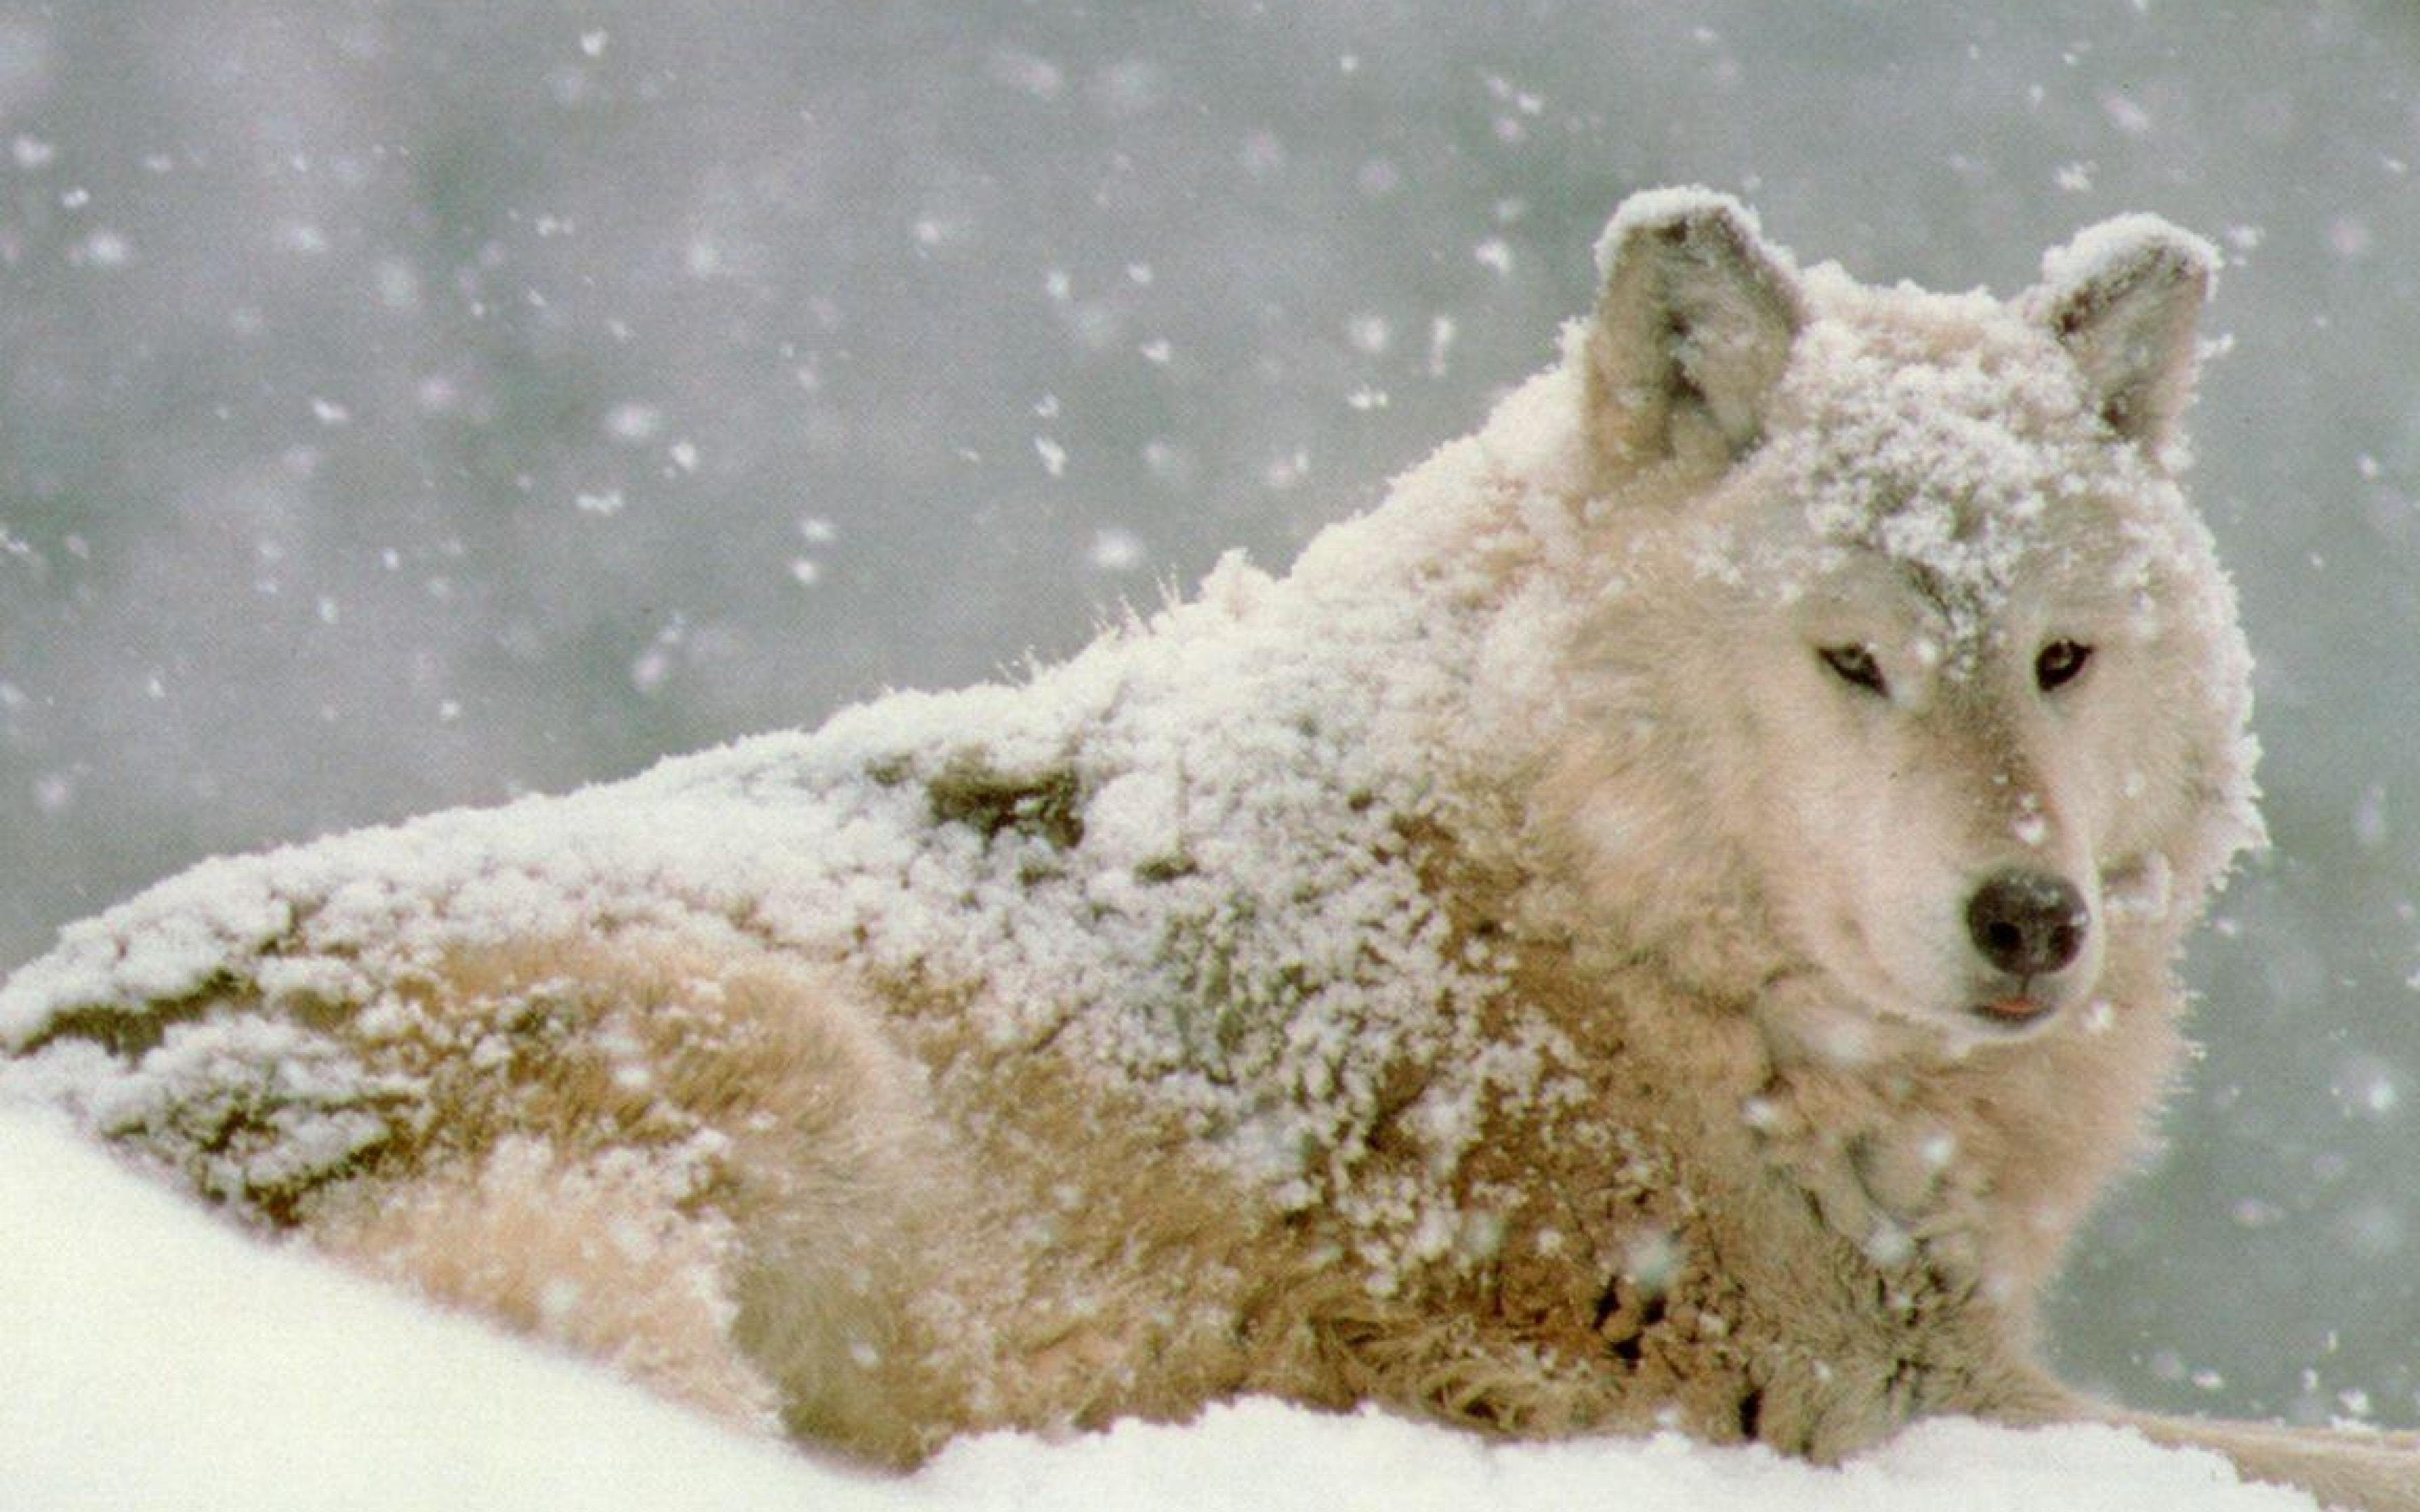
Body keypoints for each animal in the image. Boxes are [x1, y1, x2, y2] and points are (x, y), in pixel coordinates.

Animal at [4, 188, 2414, 1509]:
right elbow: (2309, 1450)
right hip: (748, 1035)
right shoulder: (1865, 1398)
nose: (2031, 919)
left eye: (2061, 658)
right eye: (1852, 662)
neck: (1596, 906)